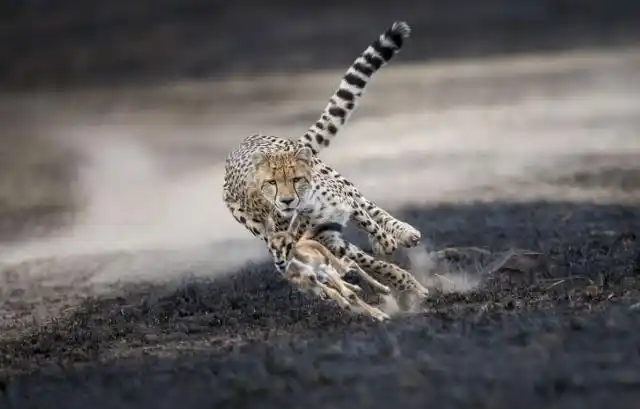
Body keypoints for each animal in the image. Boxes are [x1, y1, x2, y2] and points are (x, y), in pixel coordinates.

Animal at [223, 21, 428, 300]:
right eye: (270, 183)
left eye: (296, 179)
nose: (286, 201)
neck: (309, 207)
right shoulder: (326, 238)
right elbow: (369, 261)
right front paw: (401, 279)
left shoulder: (347, 203)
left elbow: (370, 222)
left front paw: (387, 242)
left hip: (339, 180)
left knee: (372, 207)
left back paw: (404, 233)